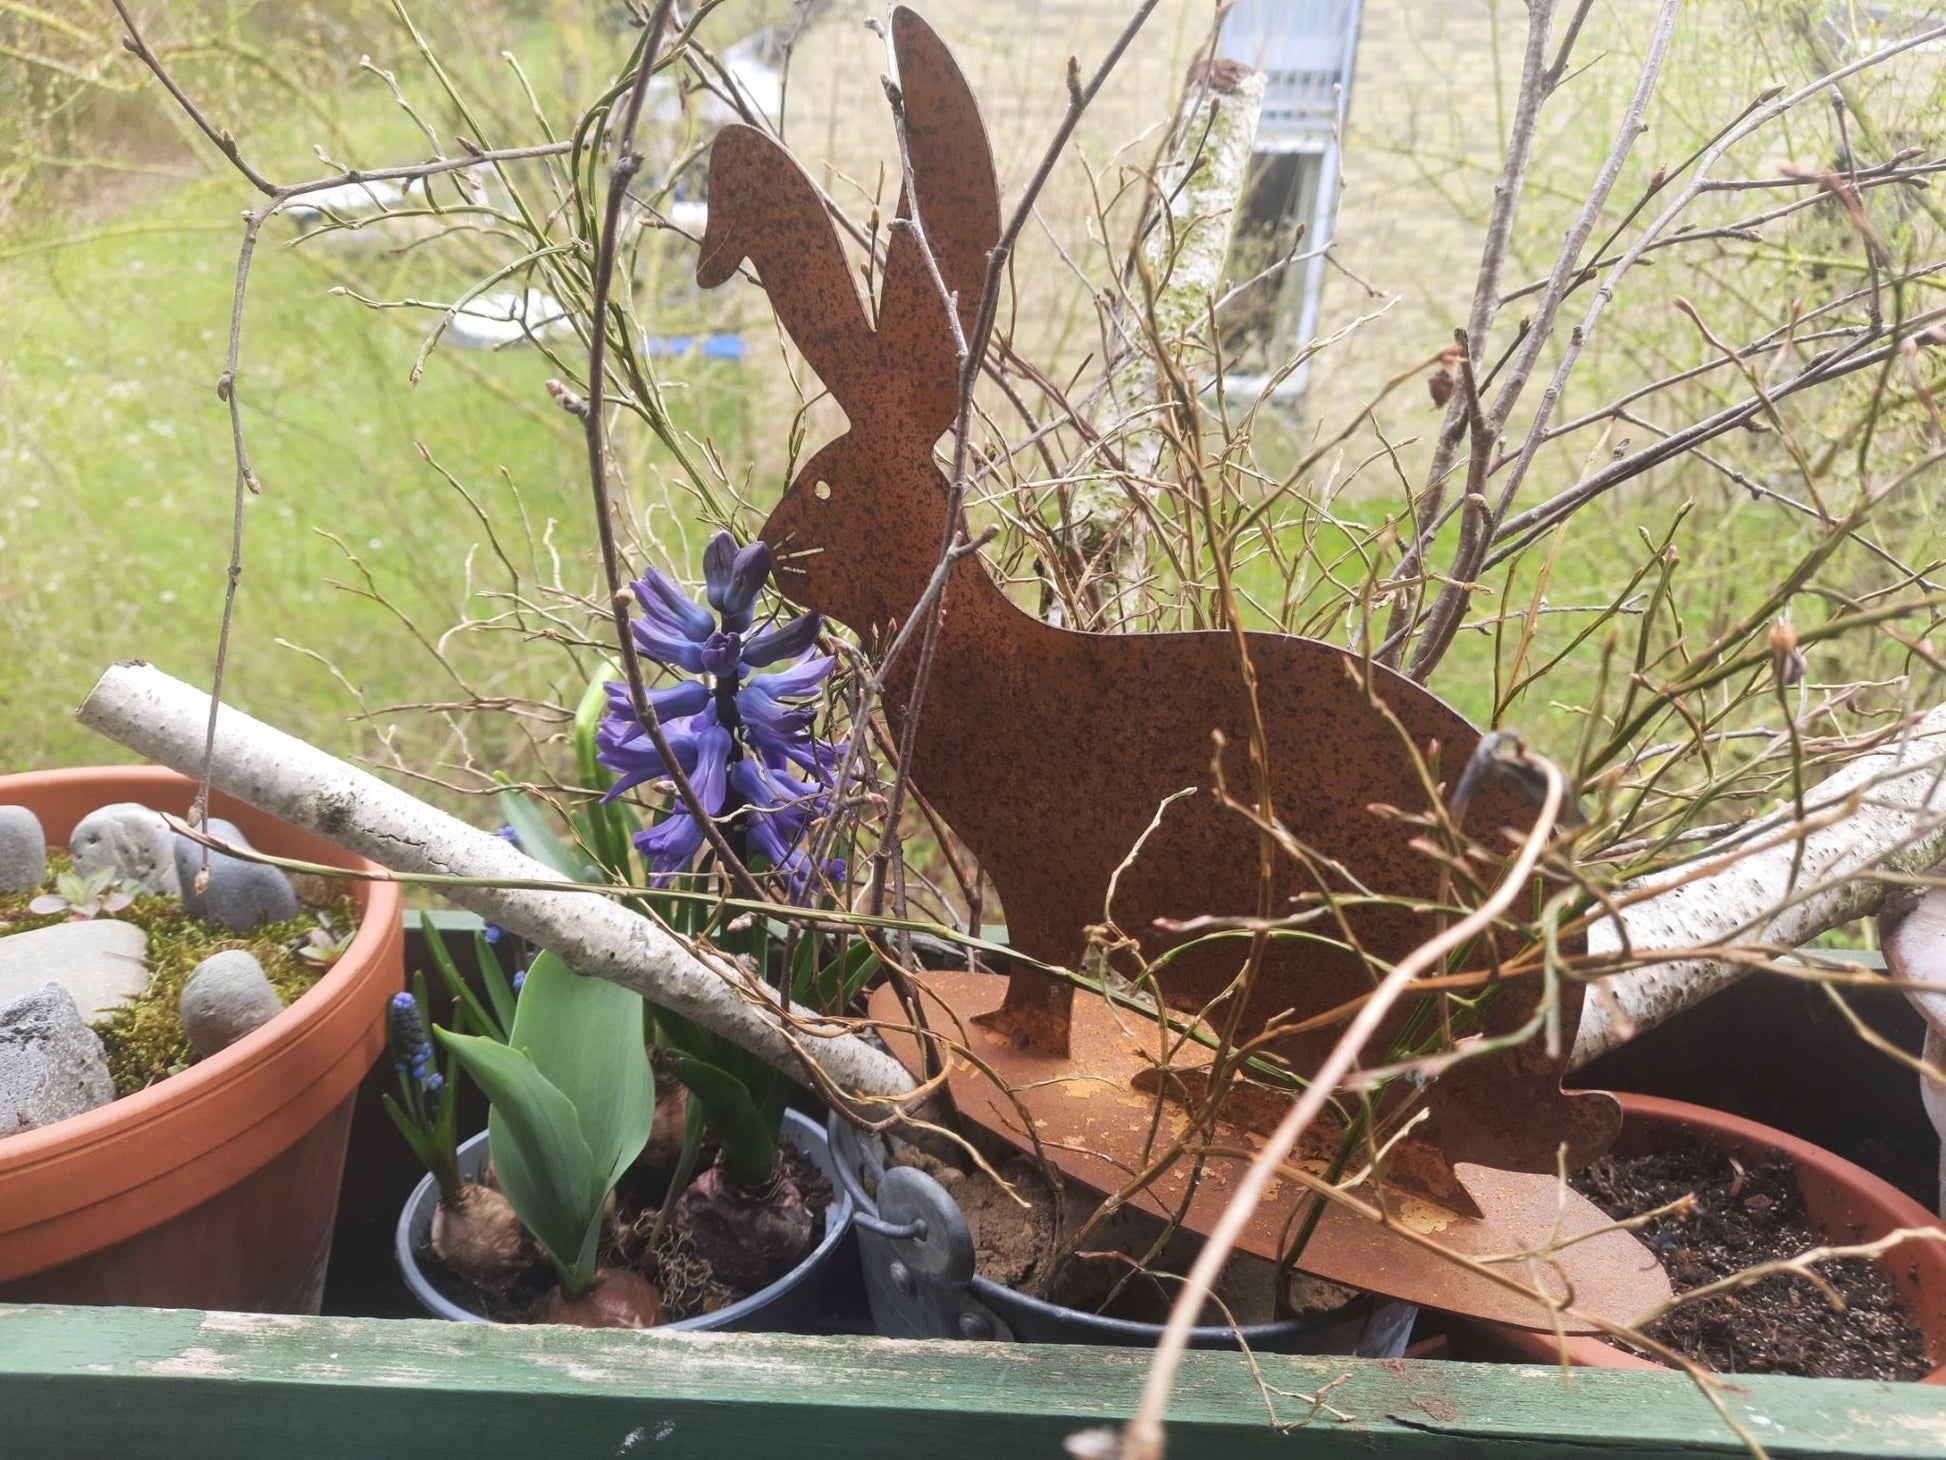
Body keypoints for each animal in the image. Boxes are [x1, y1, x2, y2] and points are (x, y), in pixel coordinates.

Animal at [697, 7, 1617, 1176]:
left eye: (819, 483)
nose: (759, 552)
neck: (984, 651)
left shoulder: (1046, 882)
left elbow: (1037, 989)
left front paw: (1002, 1044)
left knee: (1381, 1126)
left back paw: (1208, 1102)